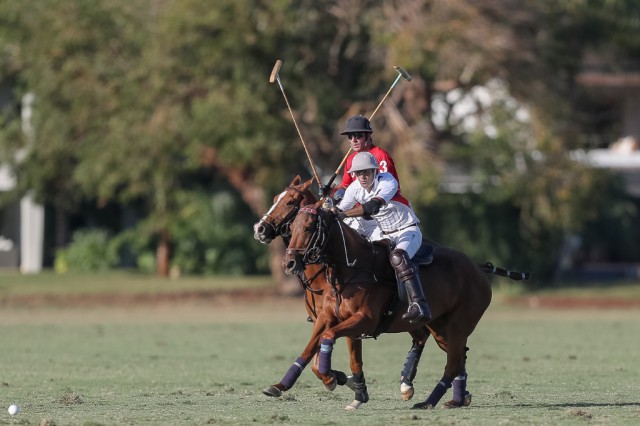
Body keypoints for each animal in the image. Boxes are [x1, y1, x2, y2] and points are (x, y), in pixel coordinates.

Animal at [254, 176, 430, 410]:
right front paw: (339, 379)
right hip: (405, 320)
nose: (260, 229)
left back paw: (406, 384)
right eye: (275, 199)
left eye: (290, 201)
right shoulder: (322, 318)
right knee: (421, 335)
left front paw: (337, 379)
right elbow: (314, 355)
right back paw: (406, 385)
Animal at [278, 203, 528, 410]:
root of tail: (477, 267)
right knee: (458, 357)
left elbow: (328, 338)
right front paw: (355, 393)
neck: (351, 269)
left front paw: (332, 377)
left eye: (309, 228)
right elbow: (321, 351)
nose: (289, 263)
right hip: (440, 327)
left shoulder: (364, 319)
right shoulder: (331, 318)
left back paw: (428, 402)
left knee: (452, 363)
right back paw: (457, 399)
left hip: (460, 323)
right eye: (292, 227)